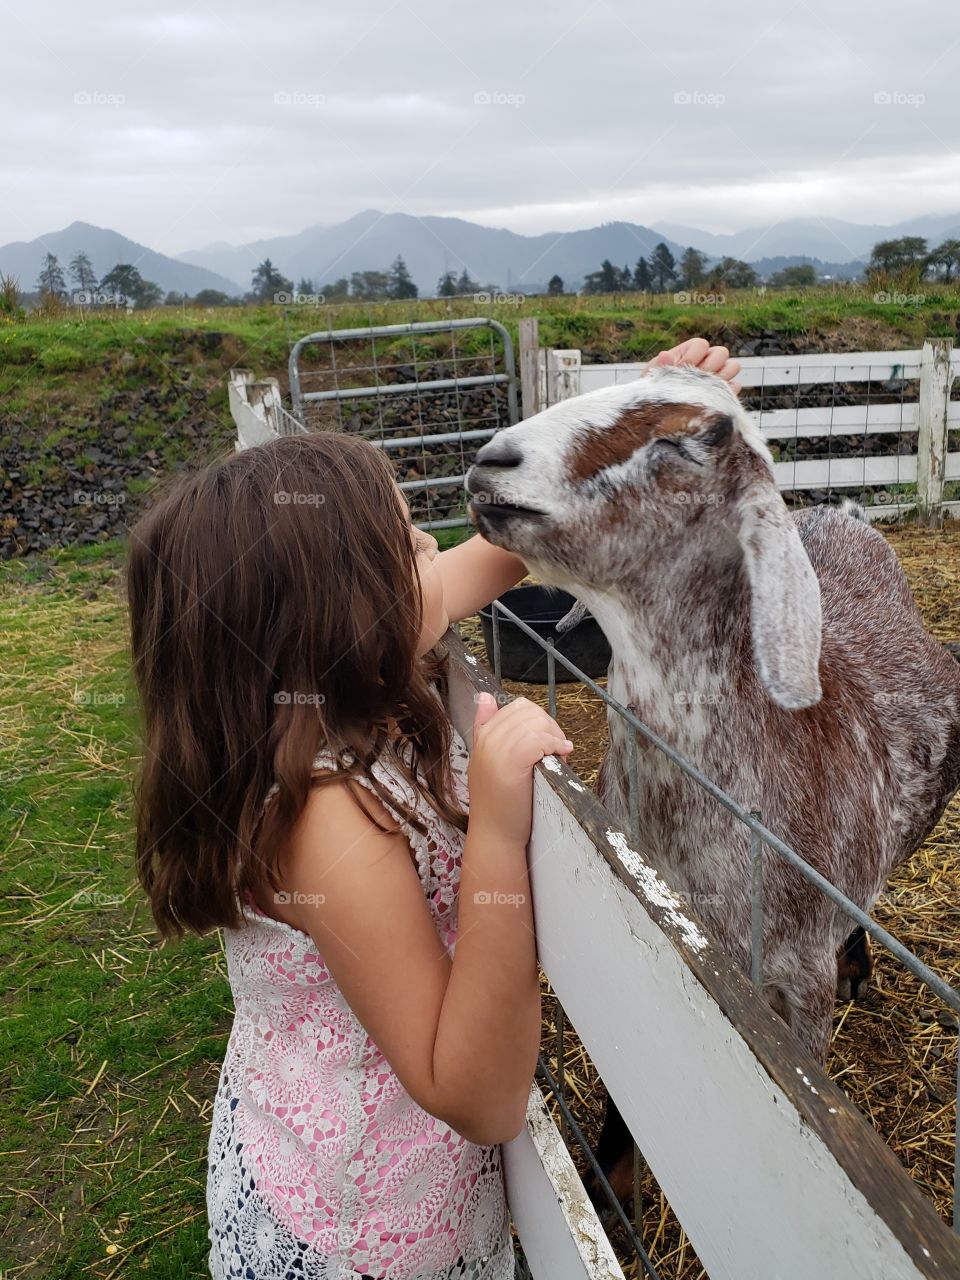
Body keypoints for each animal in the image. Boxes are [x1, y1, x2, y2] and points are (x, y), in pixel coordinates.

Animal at [465, 363, 960, 1200]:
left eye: (677, 444)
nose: (491, 461)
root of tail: (849, 519)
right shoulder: (658, 955)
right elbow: (627, 1100)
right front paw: (611, 1183)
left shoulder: (799, 1002)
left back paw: (860, 963)